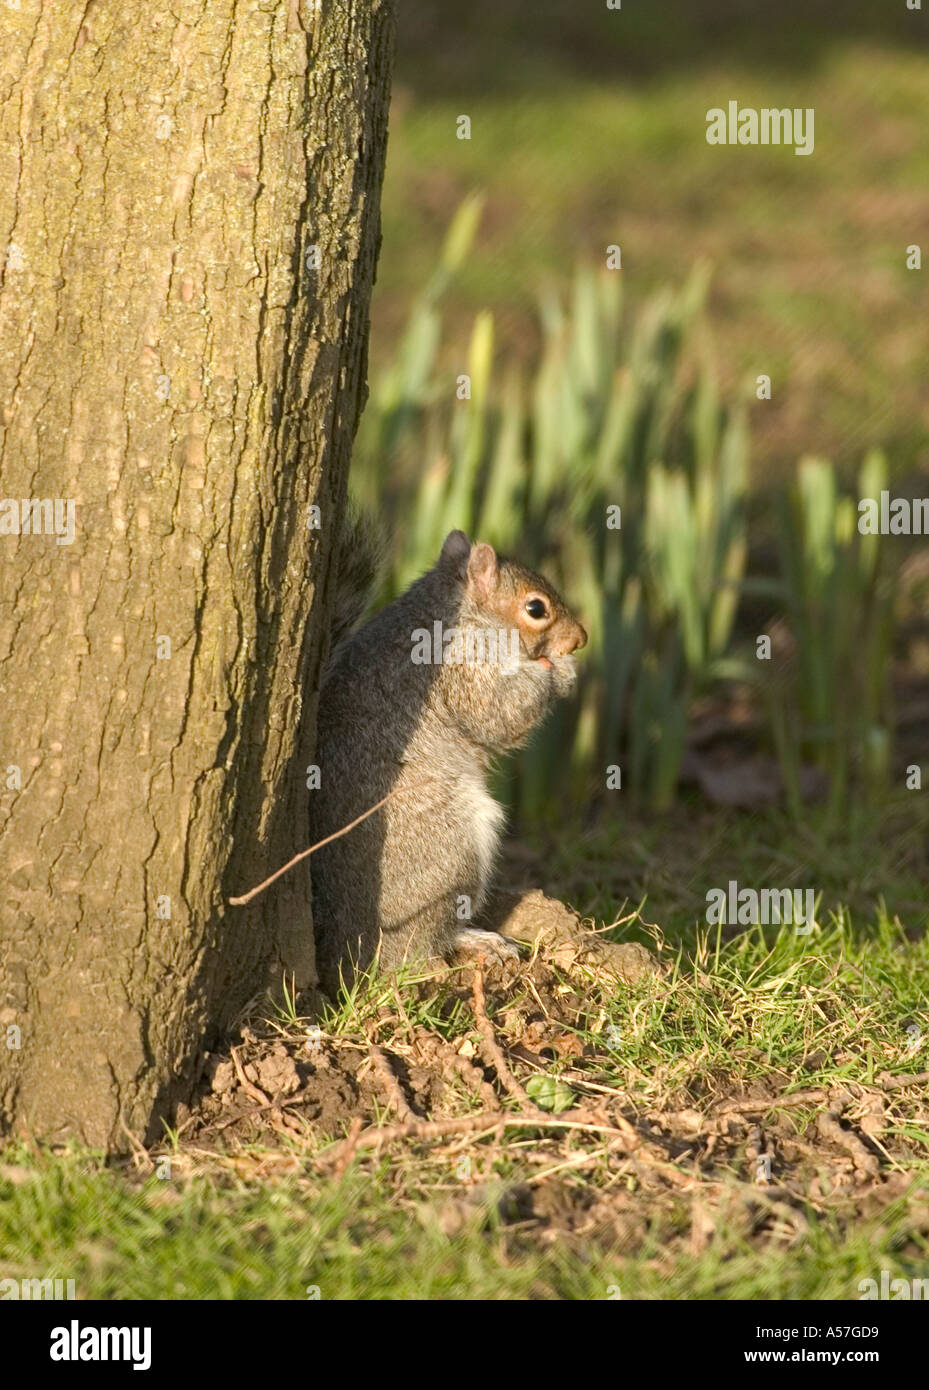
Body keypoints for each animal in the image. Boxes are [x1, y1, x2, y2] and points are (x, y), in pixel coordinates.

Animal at [310, 523, 587, 997]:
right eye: (536, 608)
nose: (581, 639)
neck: (458, 610)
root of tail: (345, 950)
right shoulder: (462, 670)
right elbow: (500, 712)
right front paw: (563, 671)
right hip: (449, 852)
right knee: (419, 945)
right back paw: (466, 941)